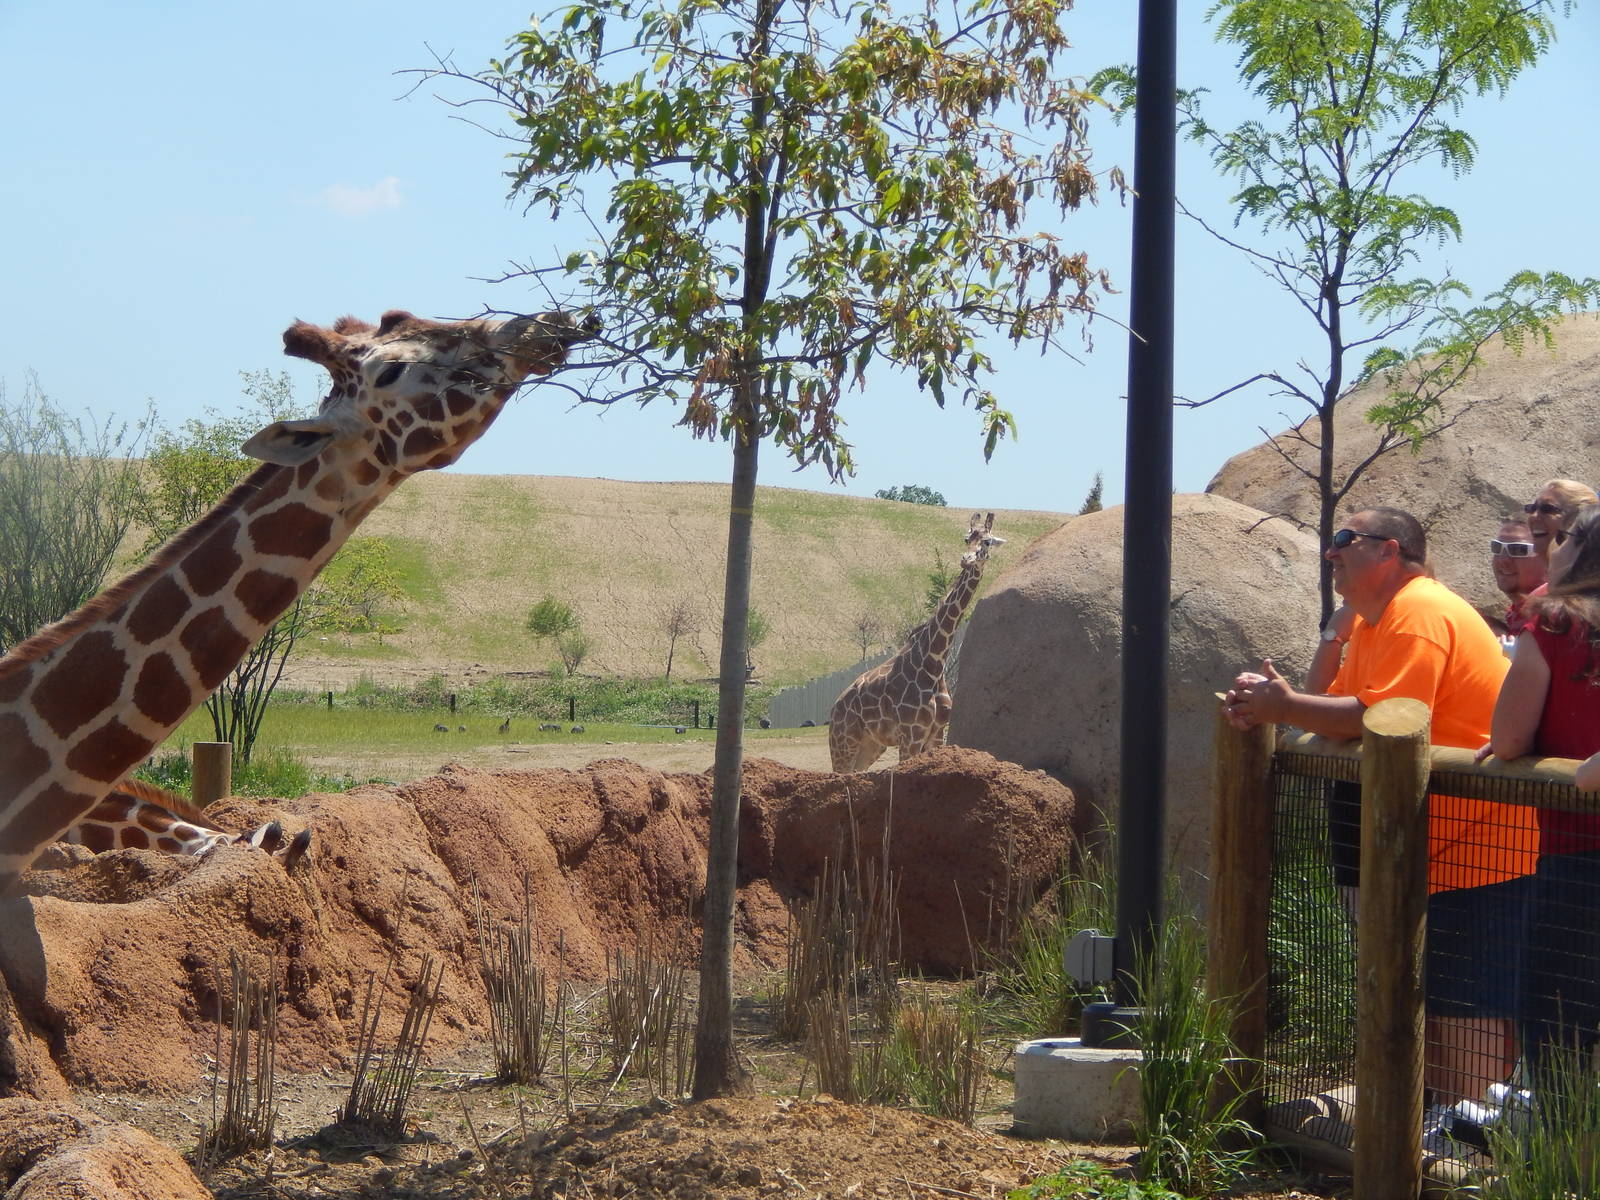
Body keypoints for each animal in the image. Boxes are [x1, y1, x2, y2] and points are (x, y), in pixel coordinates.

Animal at [828, 512, 1005, 772]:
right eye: (966, 539)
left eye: (987, 541)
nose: (966, 560)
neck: (934, 660)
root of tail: (834, 708)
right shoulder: (911, 733)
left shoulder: (936, 734)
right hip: (843, 742)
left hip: (870, 746)